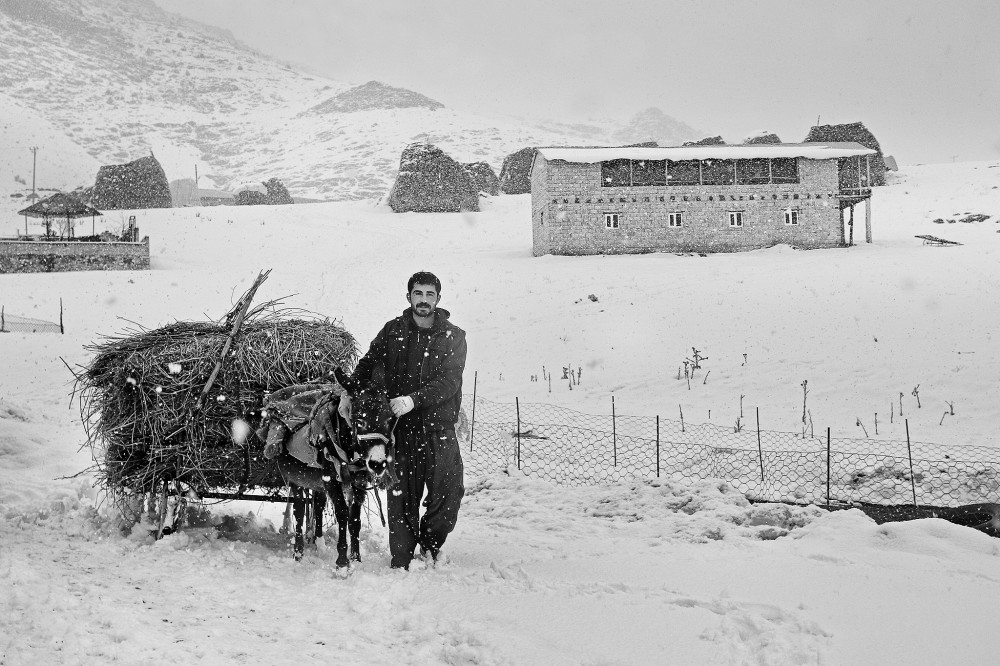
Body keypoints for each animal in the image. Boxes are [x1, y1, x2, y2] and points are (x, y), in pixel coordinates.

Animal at [256, 368, 396, 566]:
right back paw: (298, 552)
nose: (378, 464)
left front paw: (356, 558)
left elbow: (355, 518)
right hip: (297, 479)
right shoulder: (331, 478)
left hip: (317, 481)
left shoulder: (359, 481)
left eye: (390, 419)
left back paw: (318, 543)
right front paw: (342, 562)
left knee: (318, 505)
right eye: (358, 420)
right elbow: (342, 513)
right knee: (299, 510)